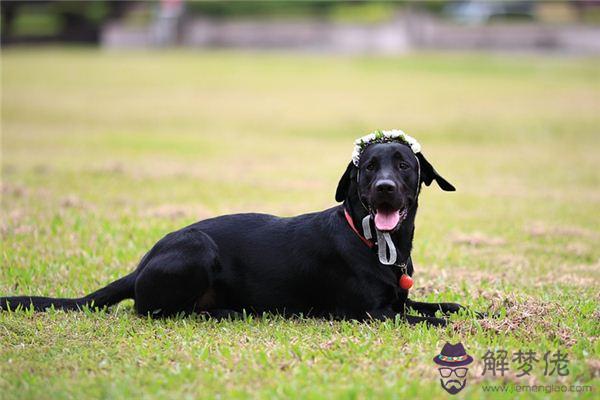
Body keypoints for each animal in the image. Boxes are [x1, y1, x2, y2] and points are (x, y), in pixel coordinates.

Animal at [0, 141, 466, 324]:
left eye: (403, 165)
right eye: (368, 167)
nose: (385, 187)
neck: (371, 241)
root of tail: (140, 267)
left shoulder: (399, 301)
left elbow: (448, 307)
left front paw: (475, 313)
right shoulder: (372, 313)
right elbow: (434, 321)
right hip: (198, 250)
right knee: (157, 310)